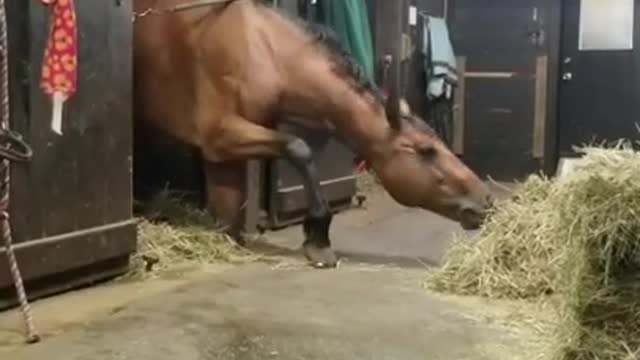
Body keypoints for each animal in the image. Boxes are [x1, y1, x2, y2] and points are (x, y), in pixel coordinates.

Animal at [131, 0, 496, 268]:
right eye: (425, 151)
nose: (486, 200)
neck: (261, 49)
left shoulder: (222, 151)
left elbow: (226, 209)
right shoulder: (221, 133)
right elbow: (299, 148)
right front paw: (318, 238)